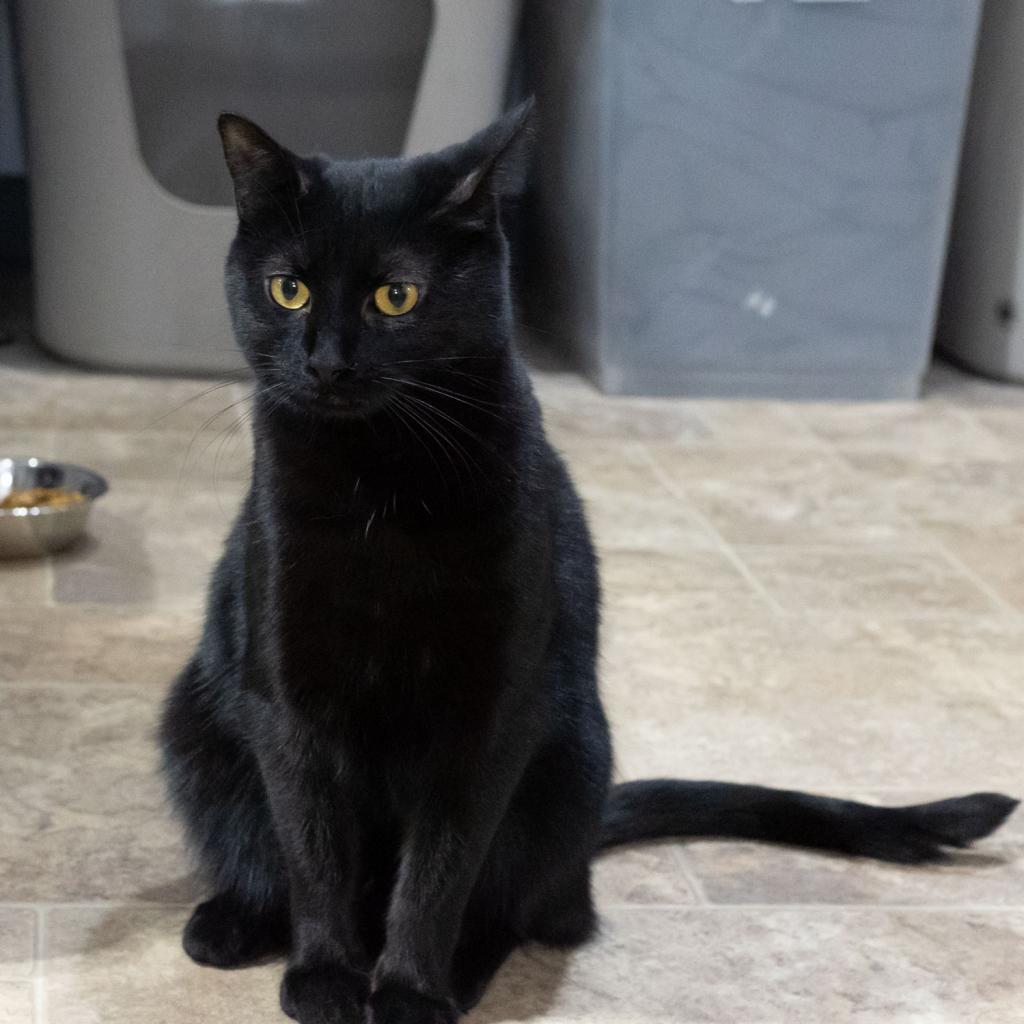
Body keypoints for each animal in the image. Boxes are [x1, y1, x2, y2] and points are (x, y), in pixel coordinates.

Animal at [159, 105, 1015, 1024]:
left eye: (397, 296)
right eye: (289, 290)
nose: (325, 363)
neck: (378, 482)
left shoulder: (492, 708)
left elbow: (440, 871)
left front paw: (411, 991)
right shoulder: (288, 695)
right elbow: (315, 849)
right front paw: (325, 978)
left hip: (568, 760)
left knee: (533, 909)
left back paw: (460, 973)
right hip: (198, 723)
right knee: (273, 857)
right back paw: (229, 924)